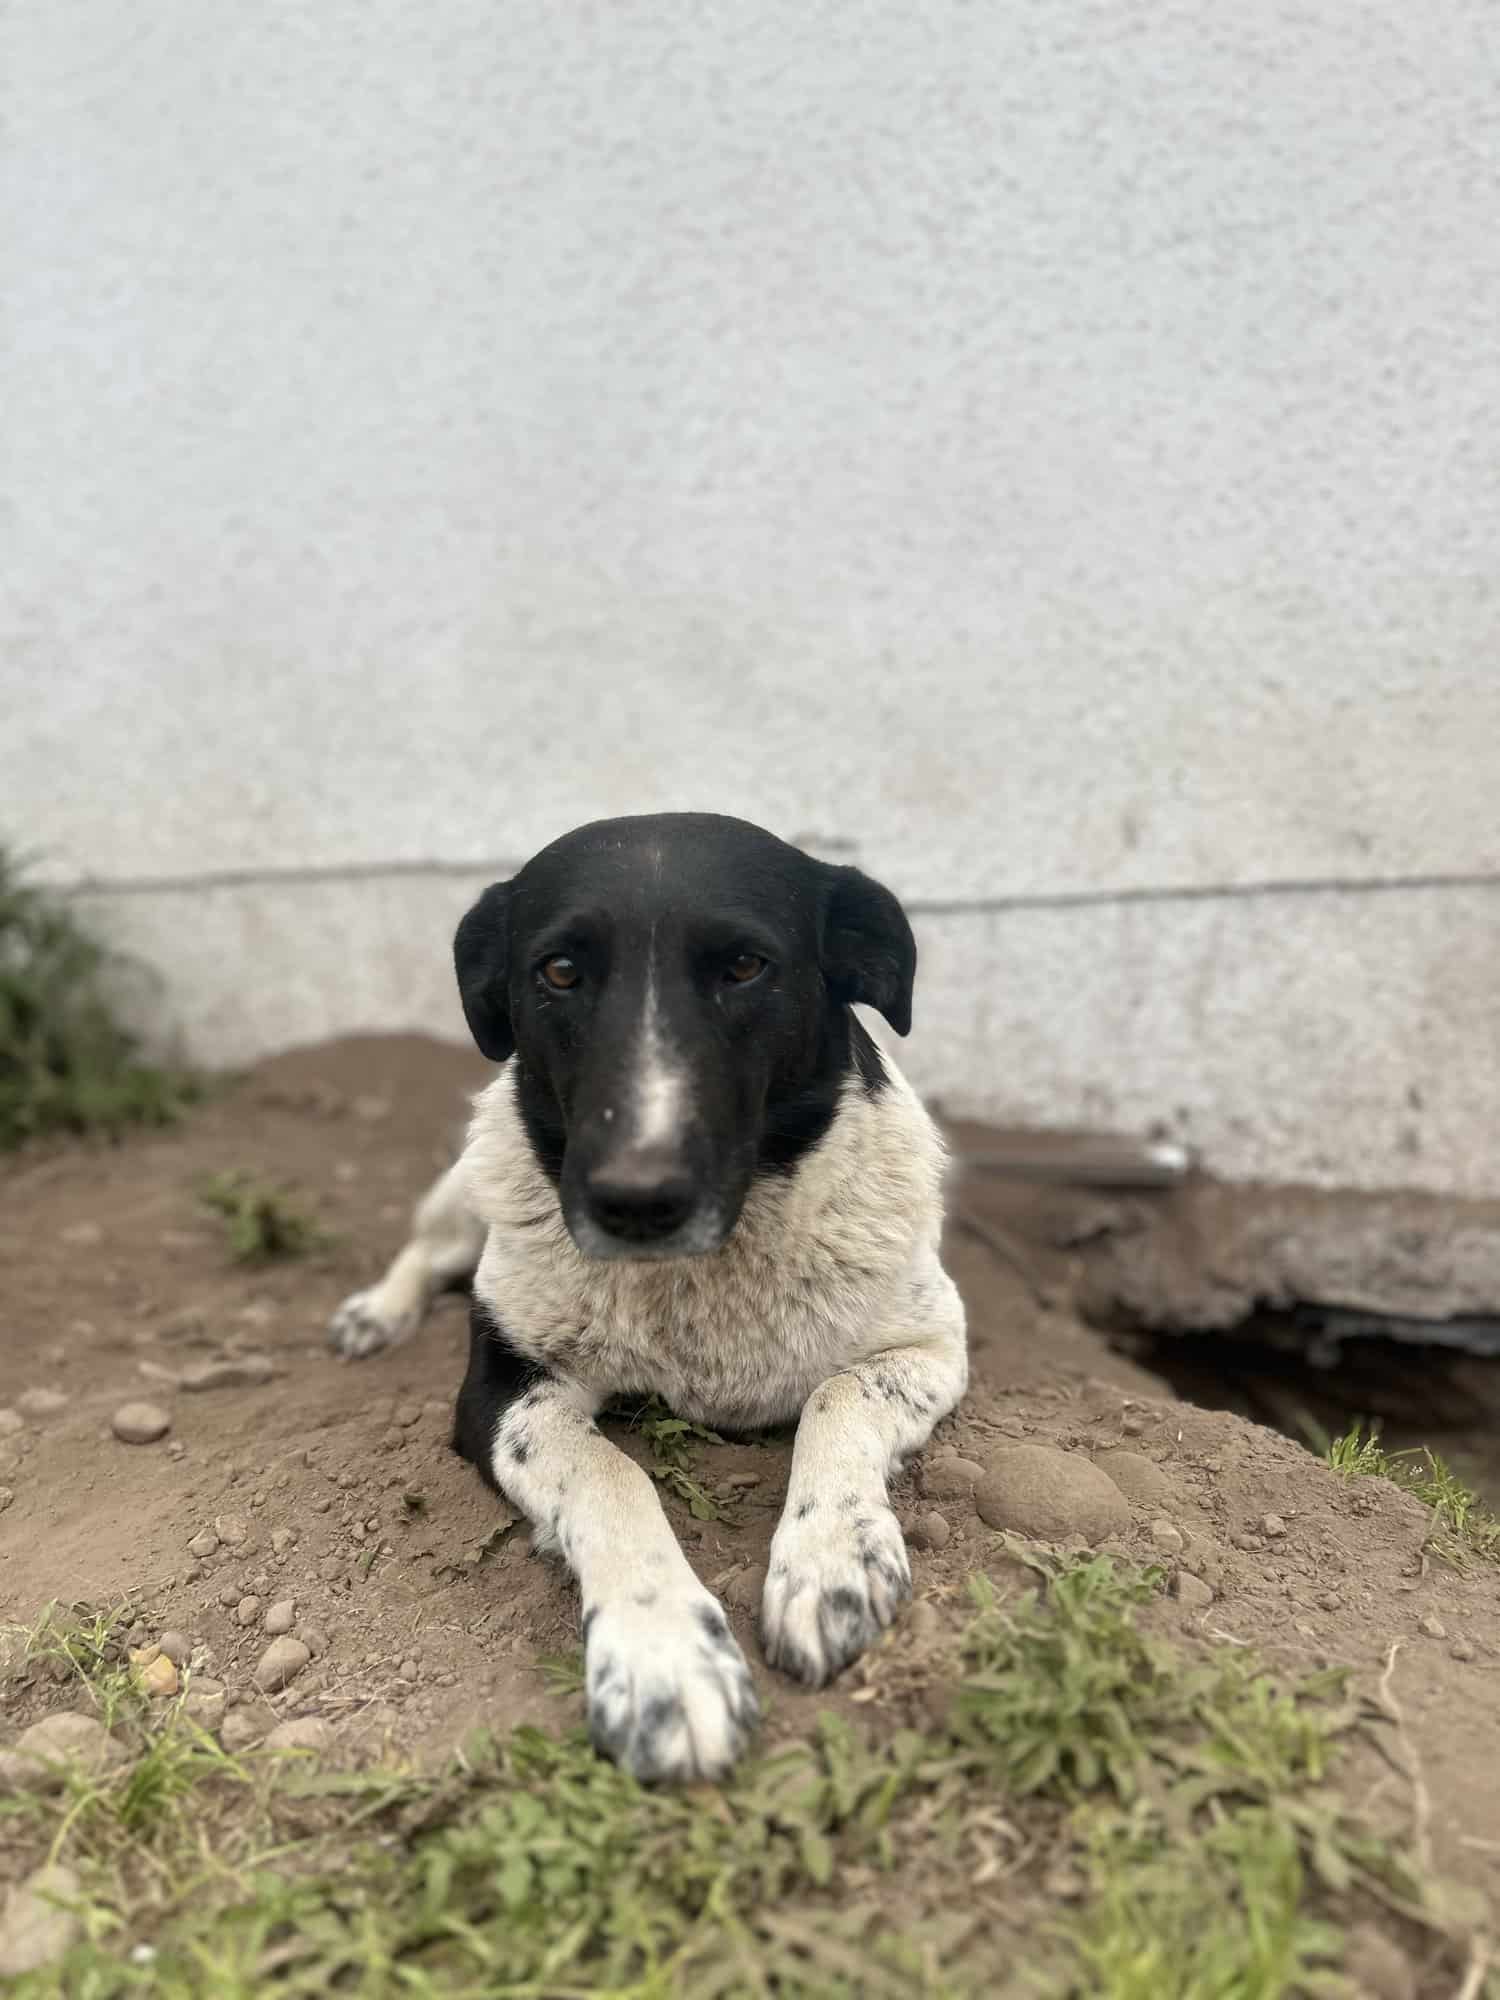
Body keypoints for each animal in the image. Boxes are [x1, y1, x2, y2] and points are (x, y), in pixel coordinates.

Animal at [328, 812, 968, 1784]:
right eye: (559, 971)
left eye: (745, 966)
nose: (636, 1200)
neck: (699, 1275)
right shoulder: (501, 1389)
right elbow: (609, 1475)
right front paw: (665, 1662)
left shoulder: (933, 1345)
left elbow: (837, 1392)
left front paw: (831, 1559)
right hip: (461, 1194)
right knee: (425, 1249)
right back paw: (377, 1311)